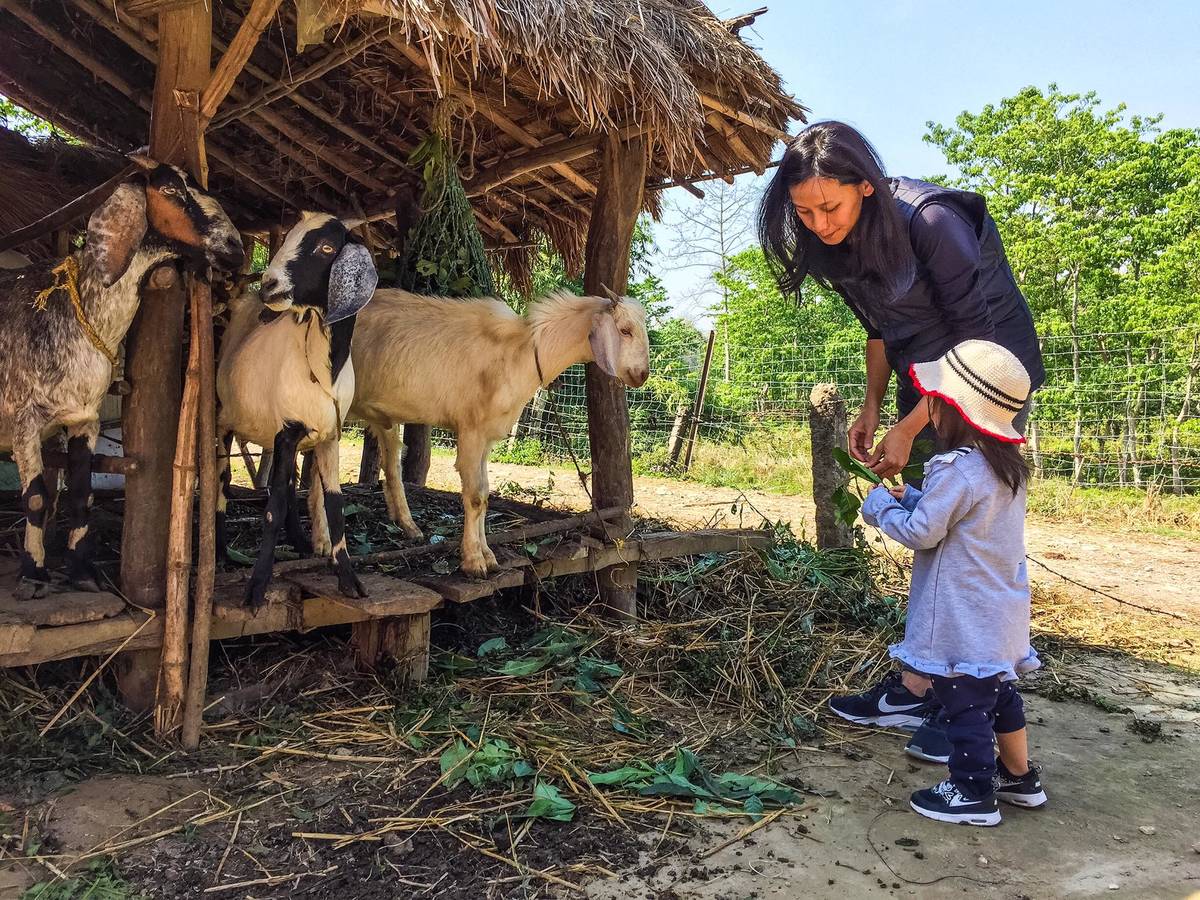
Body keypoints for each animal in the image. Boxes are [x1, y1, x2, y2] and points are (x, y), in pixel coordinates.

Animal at [0, 157, 243, 600]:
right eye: (170, 189)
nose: (234, 248)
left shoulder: (84, 419)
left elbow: (82, 495)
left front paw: (82, 573)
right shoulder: (23, 420)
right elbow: (38, 500)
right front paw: (32, 574)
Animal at [216, 211, 374, 609]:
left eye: (327, 247)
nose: (269, 284)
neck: (322, 367)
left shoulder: (328, 436)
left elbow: (334, 506)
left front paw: (349, 579)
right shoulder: (287, 432)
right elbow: (271, 509)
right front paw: (256, 588)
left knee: (287, 487)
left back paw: (301, 544)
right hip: (223, 420)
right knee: (221, 482)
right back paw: (222, 553)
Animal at [343, 292, 652, 580]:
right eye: (625, 330)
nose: (642, 375)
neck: (521, 352)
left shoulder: (487, 437)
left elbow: (485, 494)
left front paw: (488, 556)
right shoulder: (470, 430)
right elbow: (474, 496)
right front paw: (473, 562)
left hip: (384, 418)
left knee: (391, 468)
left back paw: (409, 527)